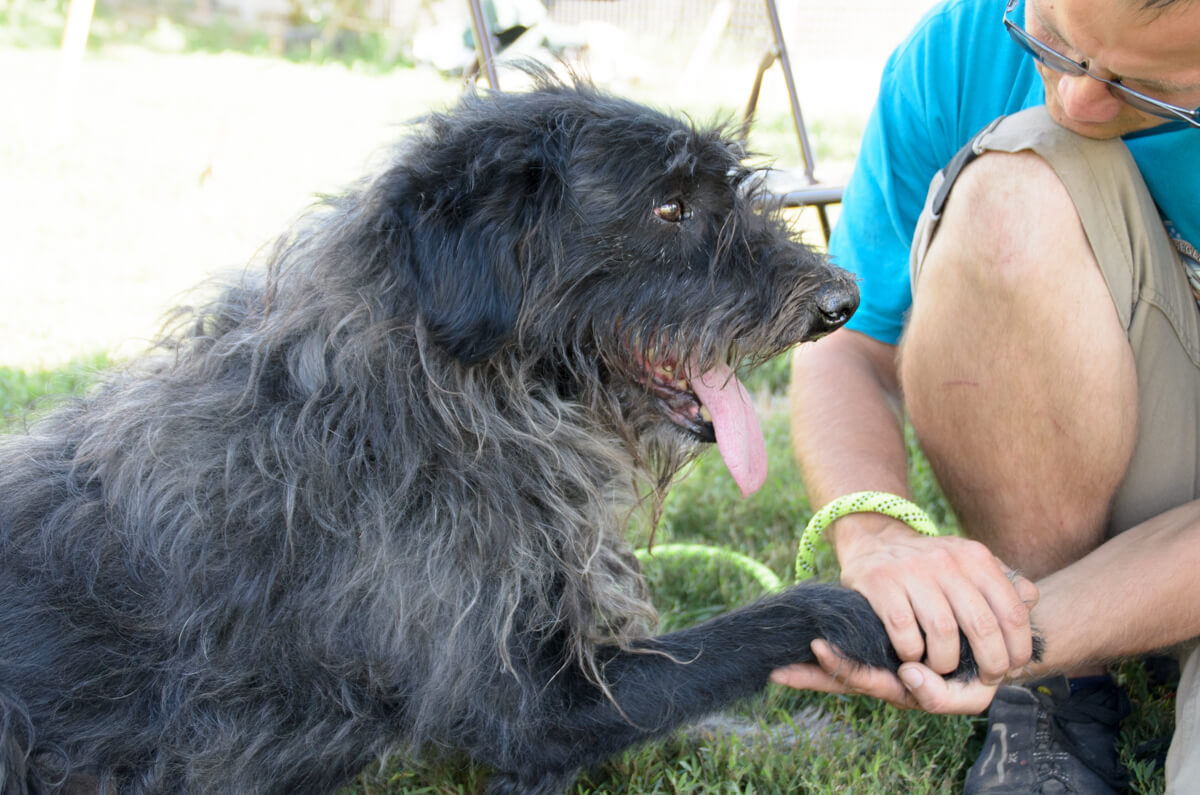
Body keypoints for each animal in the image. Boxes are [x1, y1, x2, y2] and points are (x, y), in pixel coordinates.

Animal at [0, 78, 975, 794]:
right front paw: (861, 616)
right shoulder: (529, 711)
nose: (843, 299)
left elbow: (709, 702)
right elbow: (749, 632)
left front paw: (808, 736)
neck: (448, 393)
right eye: (667, 207)